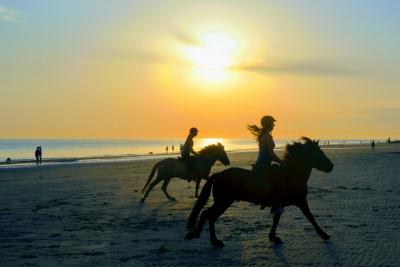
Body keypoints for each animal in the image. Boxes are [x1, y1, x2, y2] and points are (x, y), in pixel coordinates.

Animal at [187, 139, 334, 248]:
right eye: (317, 153)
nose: (331, 166)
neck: (292, 175)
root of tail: (218, 175)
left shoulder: (279, 204)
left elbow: (276, 220)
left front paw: (273, 237)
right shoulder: (301, 201)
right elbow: (311, 218)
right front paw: (324, 235)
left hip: (223, 201)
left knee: (208, 215)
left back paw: (206, 238)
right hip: (223, 201)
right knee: (209, 215)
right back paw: (212, 240)